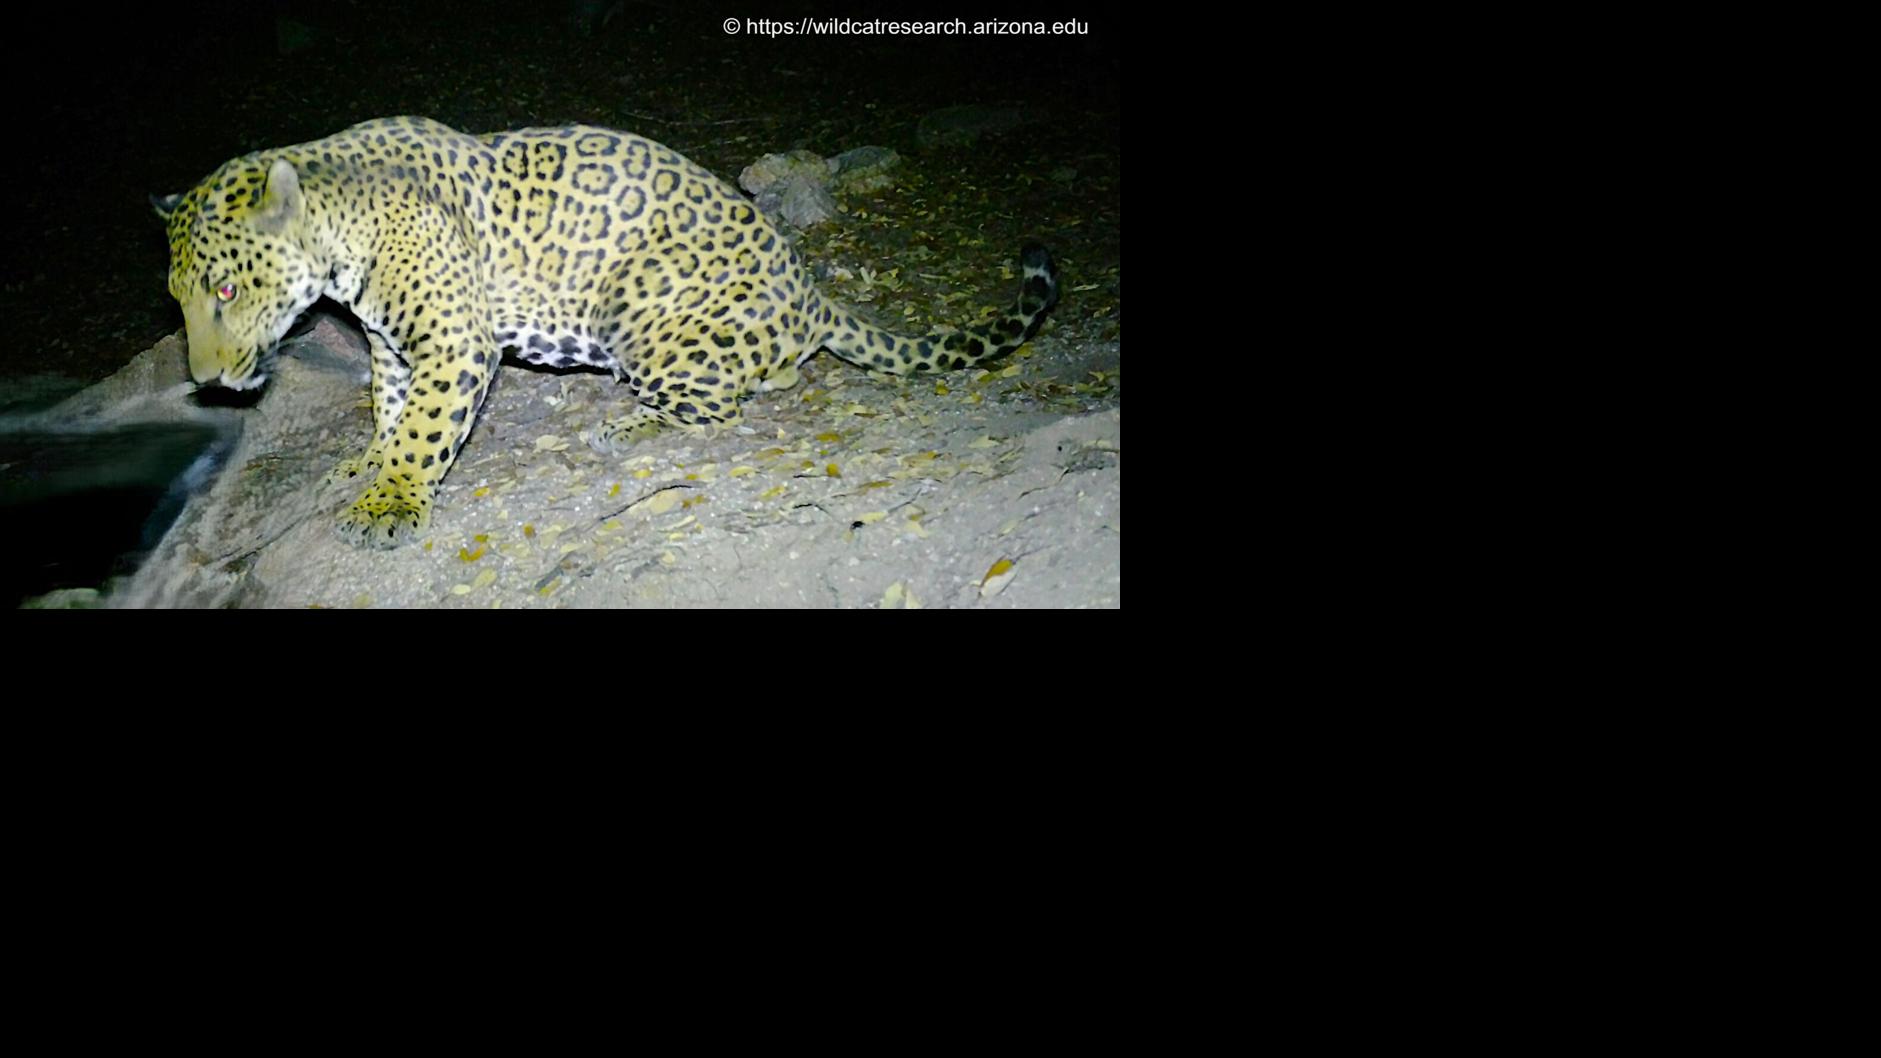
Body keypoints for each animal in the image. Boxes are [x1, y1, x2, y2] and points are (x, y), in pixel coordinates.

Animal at [153, 115, 1059, 548]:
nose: (207, 381)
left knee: (725, 402)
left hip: (642, 320)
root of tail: (811, 290)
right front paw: (369, 467)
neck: (342, 239)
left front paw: (392, 504)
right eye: (178, 298)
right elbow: (389, 410)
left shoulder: (454, 343)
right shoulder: (393, 344)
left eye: (227, 288)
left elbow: (424, 431)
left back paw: (630, 424)